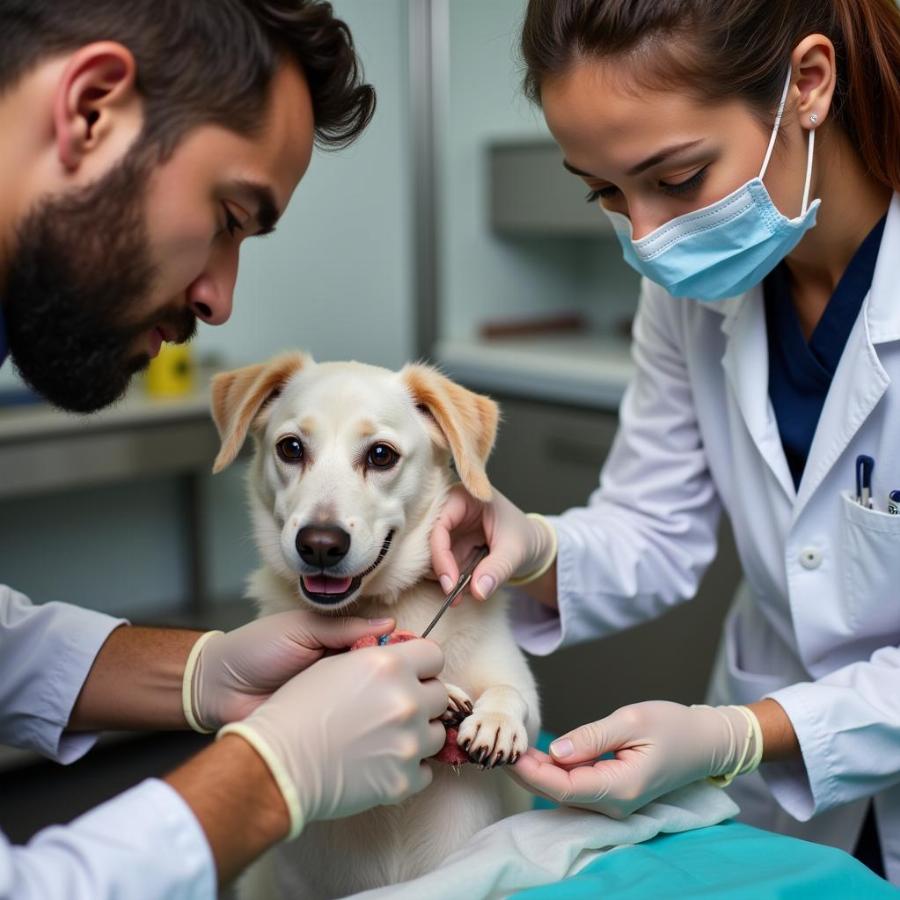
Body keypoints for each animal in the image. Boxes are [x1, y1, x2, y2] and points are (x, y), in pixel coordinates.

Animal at [211, 352, 540, 900]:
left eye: (381, 455)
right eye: (291, 448)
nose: (320, 544)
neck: (379, 604)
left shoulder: (519, 685)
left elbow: (513, 695)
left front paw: (495, 721)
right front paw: (438, 692)